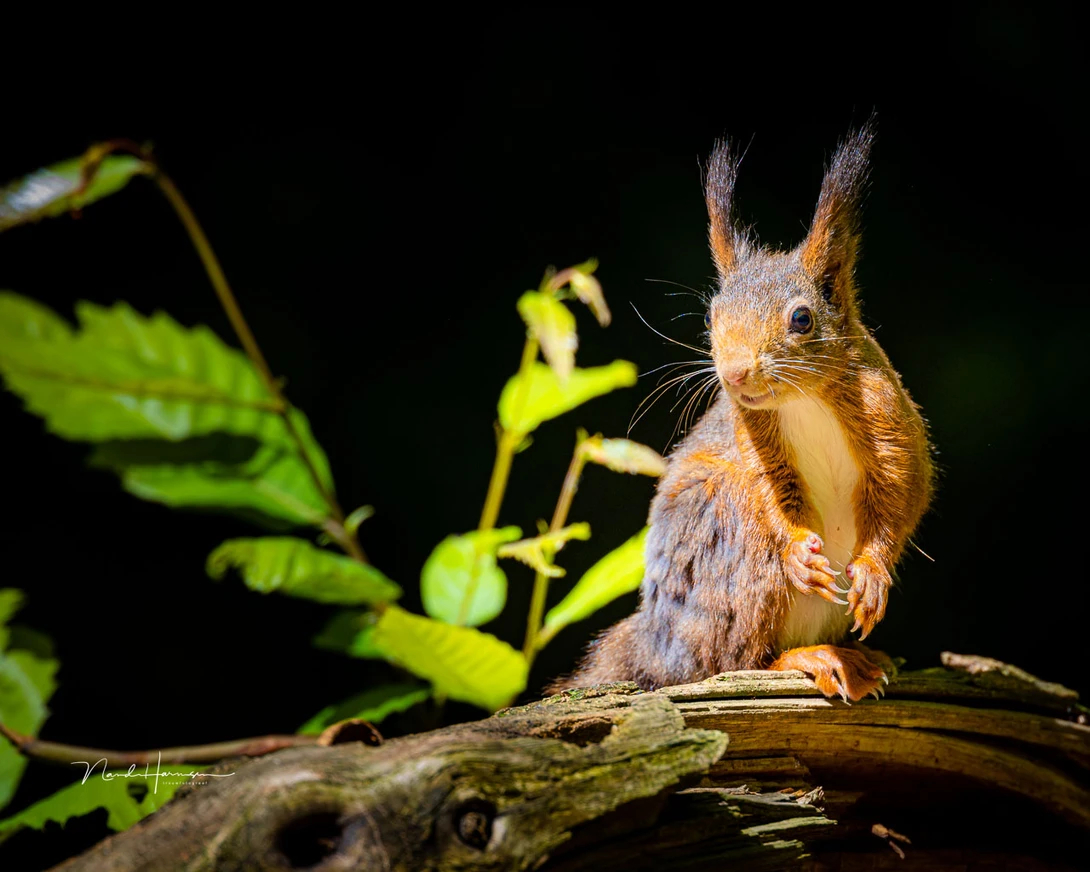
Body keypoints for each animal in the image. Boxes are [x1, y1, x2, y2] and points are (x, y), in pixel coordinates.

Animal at [551, 123, 934, 702]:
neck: (801, 401)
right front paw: (798, 552)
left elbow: (900, 493)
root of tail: (656, 645)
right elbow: (769, 491)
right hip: (725, 529)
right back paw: (816, 657)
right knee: (736, 658)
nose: (733, 374)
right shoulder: (750, 434)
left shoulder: (888, 421)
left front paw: (871, 573)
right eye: (712, 316)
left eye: (801, 319)